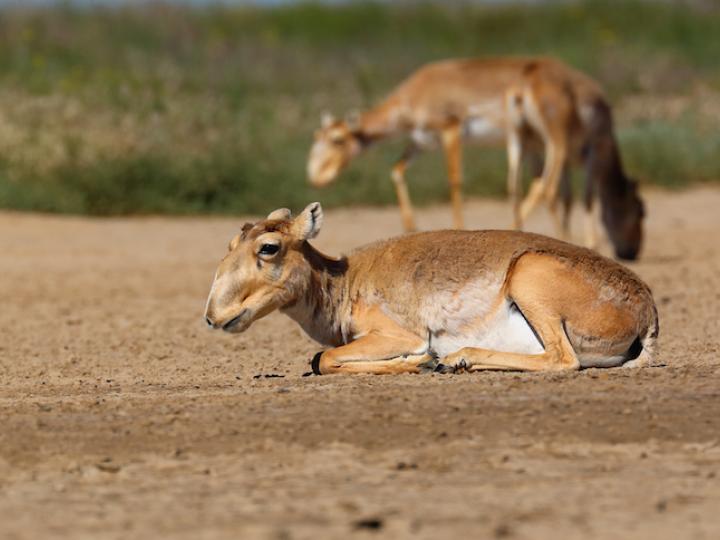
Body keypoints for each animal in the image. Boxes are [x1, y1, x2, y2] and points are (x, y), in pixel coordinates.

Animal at [202, 202, 660, 376]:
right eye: (231, 243)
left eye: (268, 247)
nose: (213, 316)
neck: (345, 280)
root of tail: (647, 310)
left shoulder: (394, 334)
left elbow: (324, 358)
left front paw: (420, 360)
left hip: (529, 273)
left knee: (563, 360)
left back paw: (455, 359)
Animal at [310, 58, 648, 260]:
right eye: (318, 136)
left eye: (337, 139)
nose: (315, 176)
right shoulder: (422, 142)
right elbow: (397, 170)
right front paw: (410, 225)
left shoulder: (450, 131)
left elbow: (454, 180)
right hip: (533, 144)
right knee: (533, 187)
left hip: (543, 144)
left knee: (541, 188)